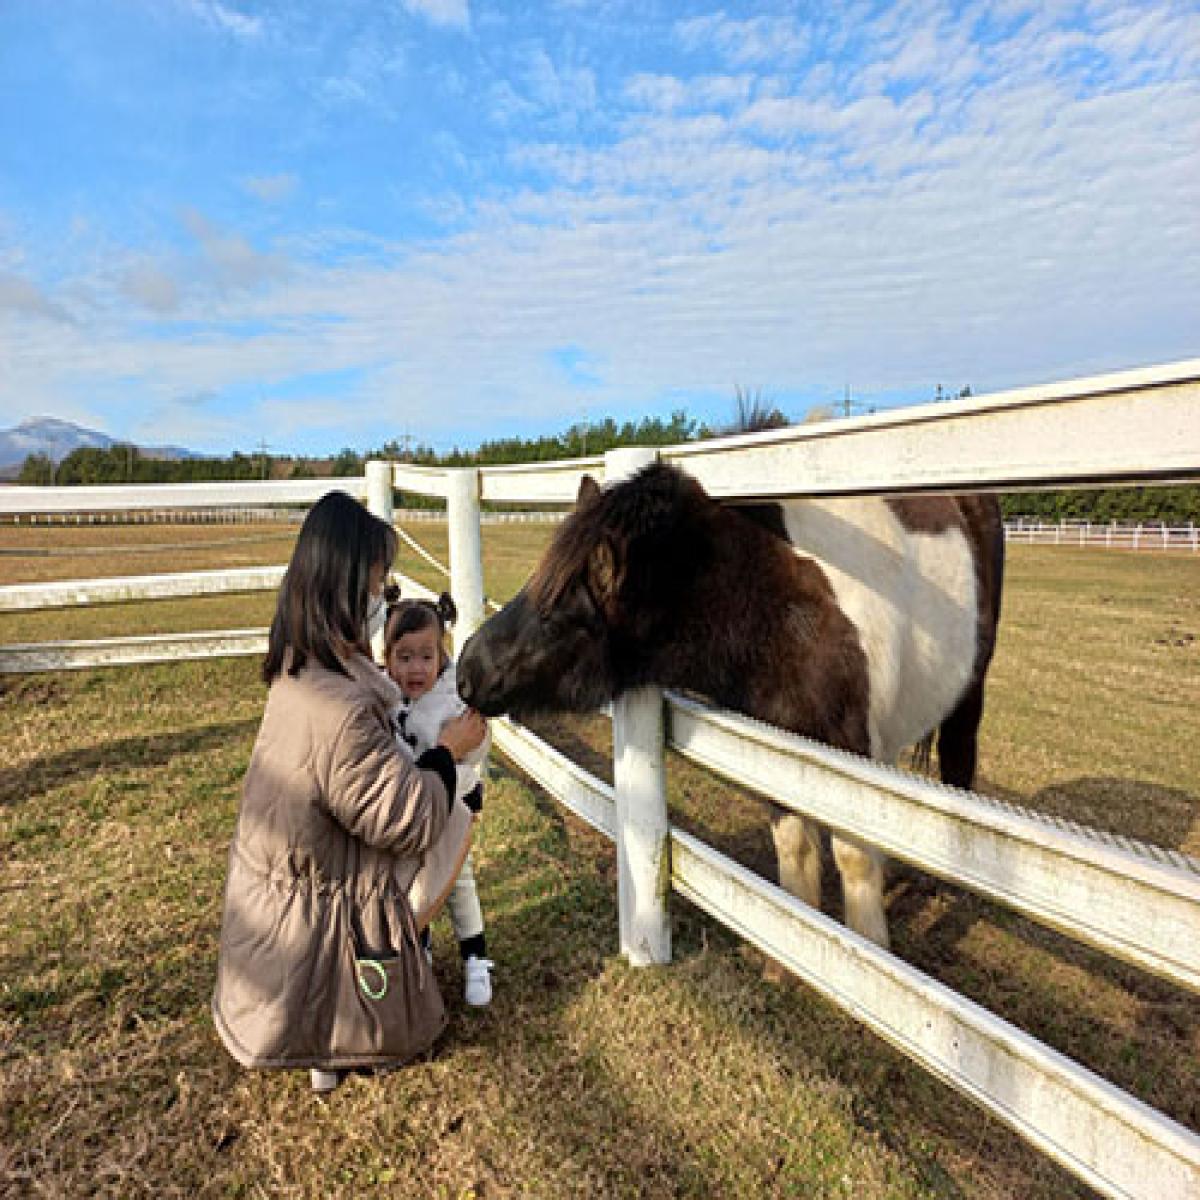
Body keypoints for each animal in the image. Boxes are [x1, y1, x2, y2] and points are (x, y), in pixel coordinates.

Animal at [458, 460, 1003, 945]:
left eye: (556, 612)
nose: (467, 670)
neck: (779, 607)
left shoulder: (851, 755)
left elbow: (854, 859)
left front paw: (869, 947)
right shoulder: (777, 748)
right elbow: (794, 848)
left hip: (967, 697)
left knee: (958, 762)